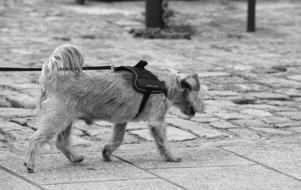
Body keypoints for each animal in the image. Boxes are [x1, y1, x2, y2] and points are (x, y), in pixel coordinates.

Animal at [24, 44, 205, 172]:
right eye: (200, 94)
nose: (204, 107)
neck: (164, 84)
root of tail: (53, 78)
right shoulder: (157, 121)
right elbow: (163, 142)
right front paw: (171, 157)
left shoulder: (121, 120)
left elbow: (118, 138)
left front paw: (107, 152)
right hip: (57, 119)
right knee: (36, 139)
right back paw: (30, 164)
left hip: (66, 120)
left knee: (61, 142)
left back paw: (75, 158)